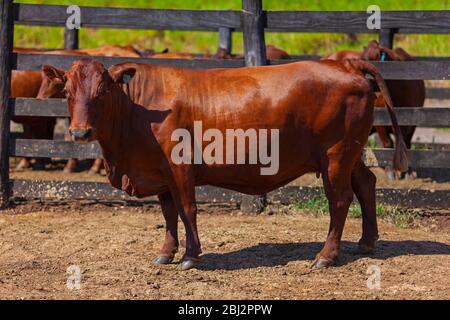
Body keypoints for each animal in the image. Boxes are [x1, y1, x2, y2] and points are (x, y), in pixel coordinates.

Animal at [43, 58, 408, 270]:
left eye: (102, 91)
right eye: (67, 93)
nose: (79, 131)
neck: (138, 110)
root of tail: (345, 63)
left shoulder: (179, 168)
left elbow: (187, 209)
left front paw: (191, 255)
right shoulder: (158, 173)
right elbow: (169, 214)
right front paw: (167, 252)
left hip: (335, 156)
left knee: (340, 200)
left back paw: (326, 255)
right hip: (350, 155)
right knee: (366, 185)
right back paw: (367, 242)